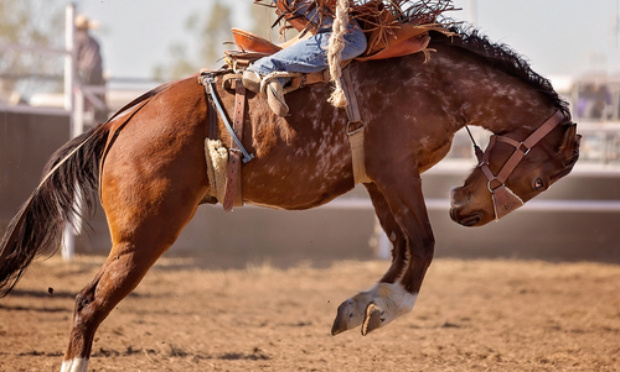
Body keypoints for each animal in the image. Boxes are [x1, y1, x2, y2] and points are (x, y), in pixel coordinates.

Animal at [1, 26, 580, 372]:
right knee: (88, 303)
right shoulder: (397, 172)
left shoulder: (379, 180)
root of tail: (120, 121)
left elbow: (400, 247)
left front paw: (362, 306)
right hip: (144, 237)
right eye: (539, 182)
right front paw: (385, 308)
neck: (436, 81)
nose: (470, 212)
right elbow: (422, 244)